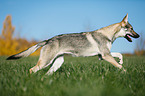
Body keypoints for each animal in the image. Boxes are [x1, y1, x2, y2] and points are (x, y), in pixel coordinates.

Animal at [6, 13, 139, 75]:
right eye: (132, 29)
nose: (138, 36)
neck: (108, 35)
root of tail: (48, 40)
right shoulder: (106, 56)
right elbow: (120, 67)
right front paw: (126, 74)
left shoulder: (102, 56)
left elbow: (120, 55)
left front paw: (121, 61)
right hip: (45, 62)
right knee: (31, 70)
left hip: (56, 64)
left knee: (46, 74)